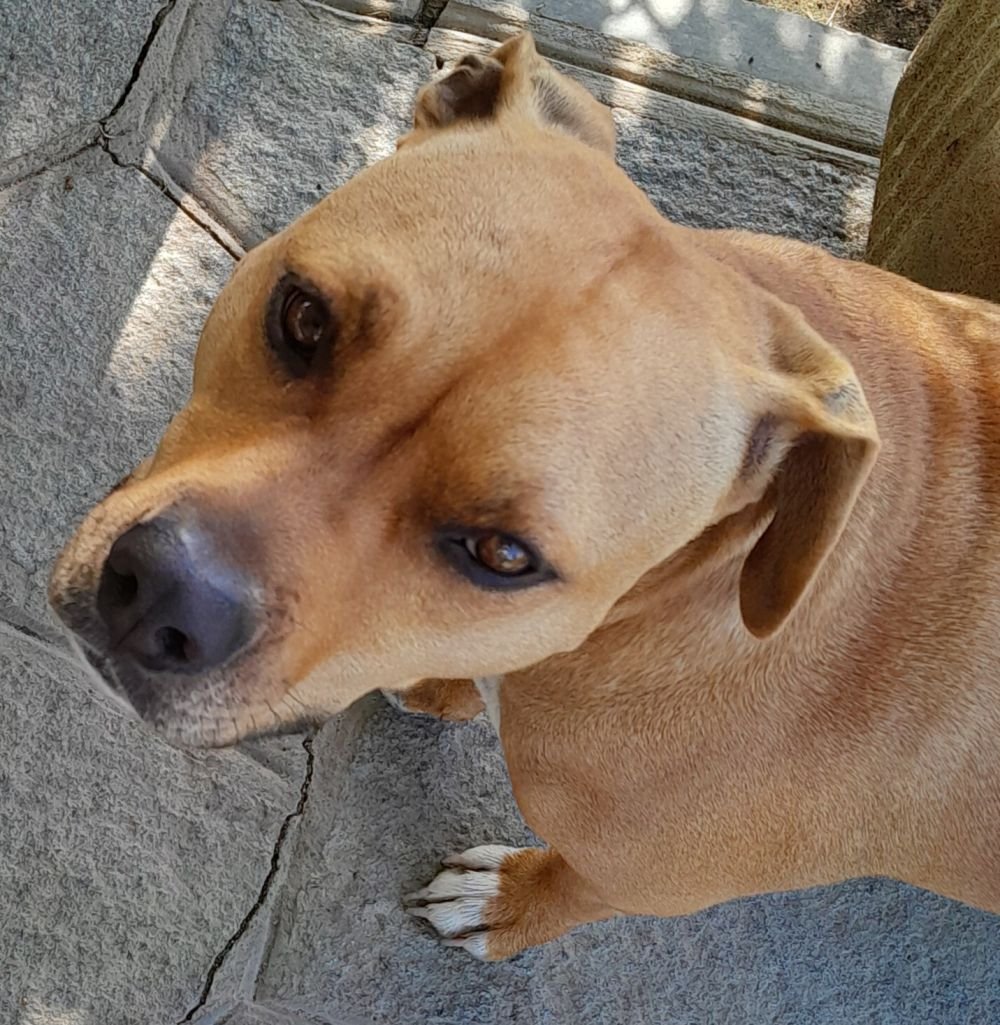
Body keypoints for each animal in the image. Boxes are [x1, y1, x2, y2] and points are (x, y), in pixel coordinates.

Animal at [50, 33, 1000, 960]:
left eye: (505, 554)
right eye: (304, 318)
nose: (163, 593)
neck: (706, 581)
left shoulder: (640, 877)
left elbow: (578, 890)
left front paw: (508, 907)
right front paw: (444, 684)